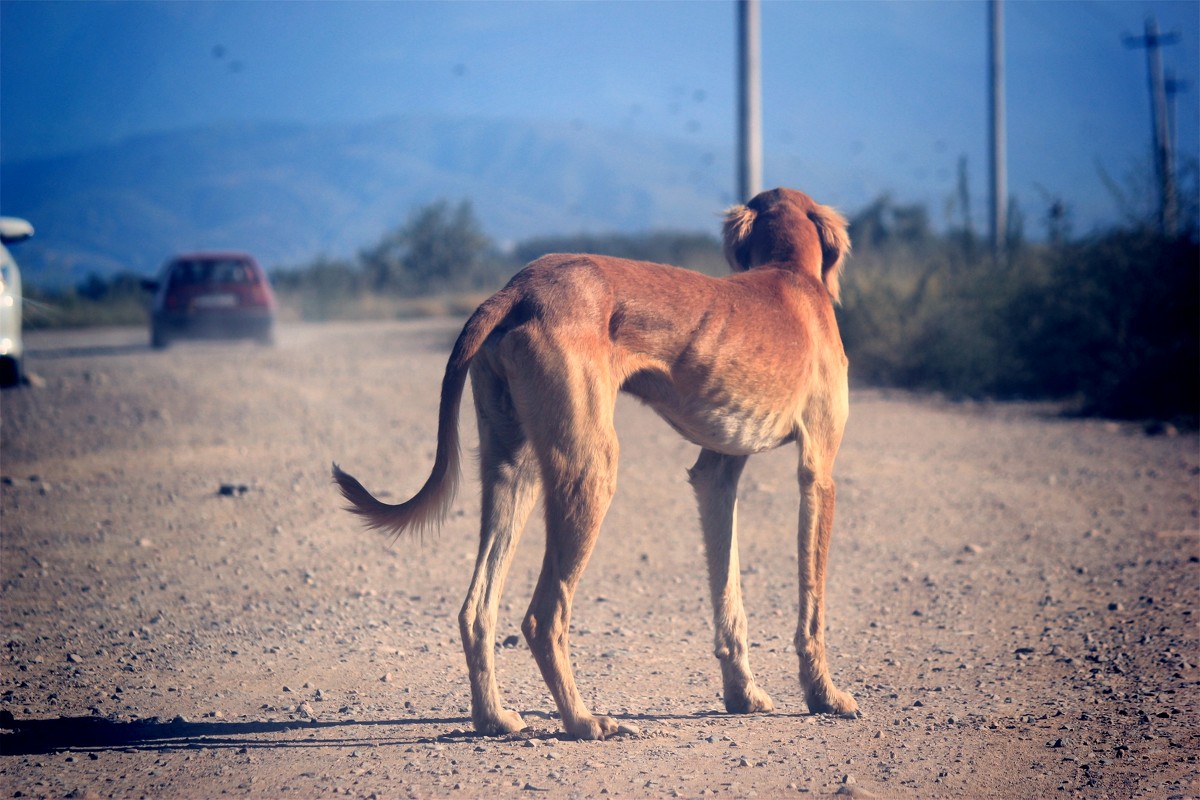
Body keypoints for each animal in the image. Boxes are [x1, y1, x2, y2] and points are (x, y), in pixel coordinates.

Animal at [333, 185, 859, 738]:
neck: (789, 272)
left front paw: (744, 694)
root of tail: (519, 288)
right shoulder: (818, 473)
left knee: (477, 608)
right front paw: (825, 695)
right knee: (543, 618)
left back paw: (494, 716)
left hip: (514, 467)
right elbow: (813, 604)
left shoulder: (717, 473)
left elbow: (729, 591)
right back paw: (583, 720)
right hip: (591, 470)